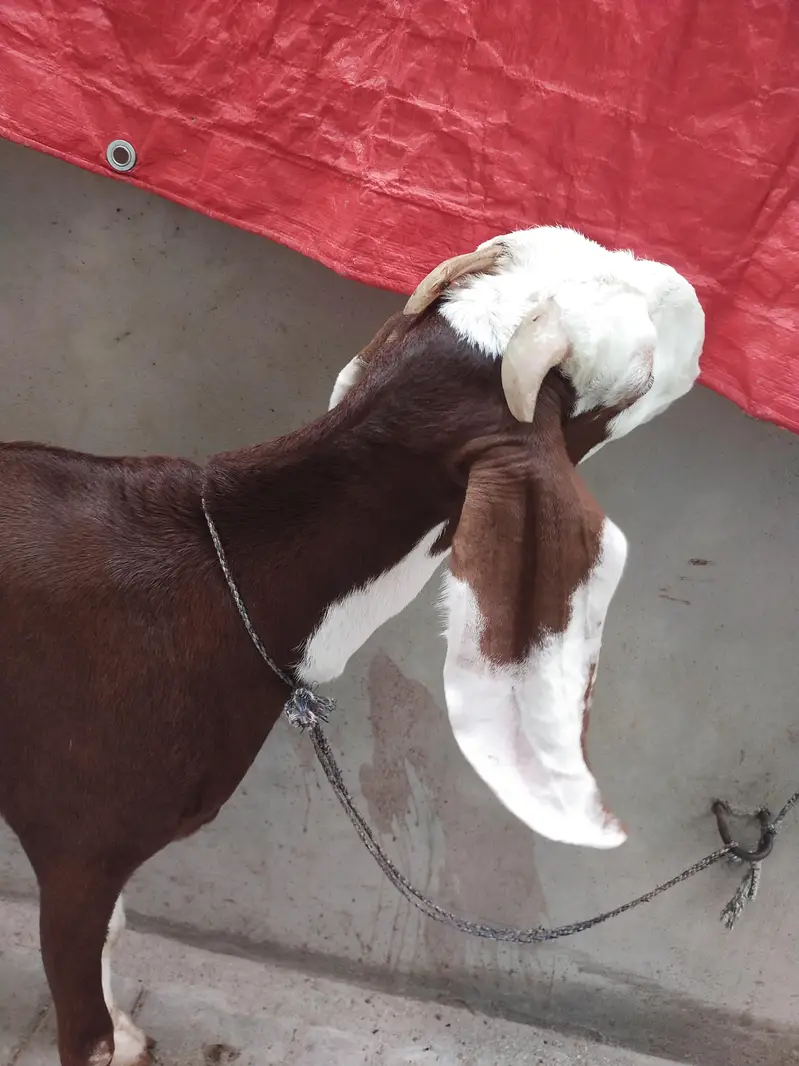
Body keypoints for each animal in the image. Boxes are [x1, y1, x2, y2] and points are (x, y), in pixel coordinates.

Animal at [0, 226, 703, 1065]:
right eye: (637, 371)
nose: (694, 294)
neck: (227, 572)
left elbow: (113, 939)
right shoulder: (78, 851)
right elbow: (89, 1030)